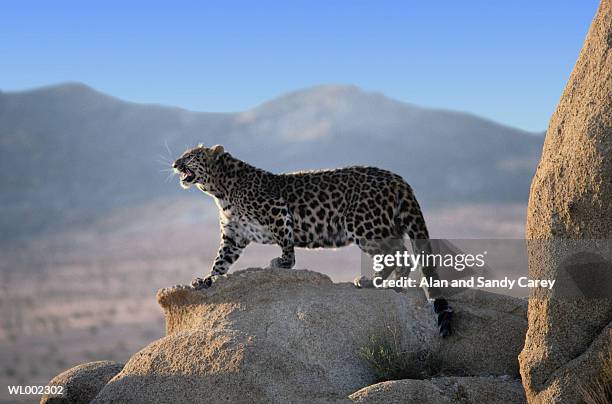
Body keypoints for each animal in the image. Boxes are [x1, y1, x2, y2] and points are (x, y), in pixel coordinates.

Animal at [175, 144, 452, 336]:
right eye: (183, 155)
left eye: (191, 156)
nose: (175, 163)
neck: (220, 191)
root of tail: (399, 179)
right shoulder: (234, 236)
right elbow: (220, 262)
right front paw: (204, 280)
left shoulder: (277, 211)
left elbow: (286, 242)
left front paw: (283, 264)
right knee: (398, 254)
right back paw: (387, 283)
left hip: (364, 224)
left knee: (399, 253)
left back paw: (381, 283)